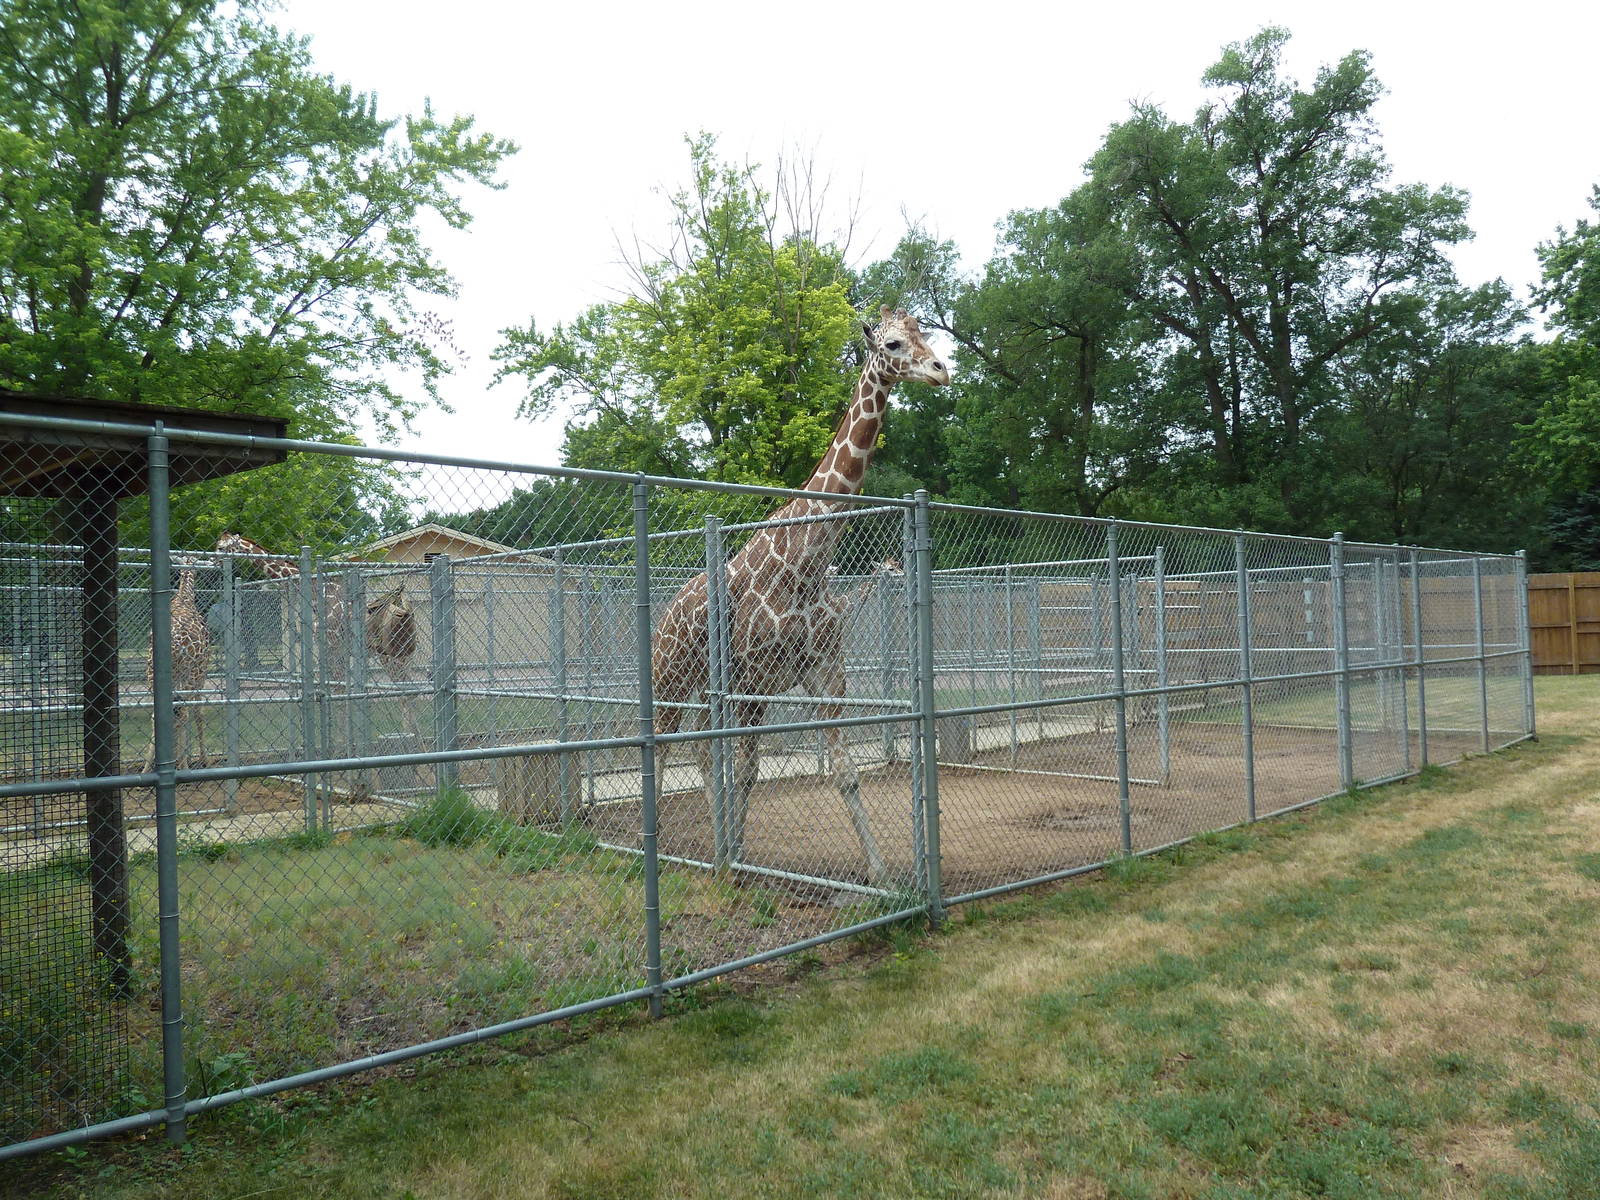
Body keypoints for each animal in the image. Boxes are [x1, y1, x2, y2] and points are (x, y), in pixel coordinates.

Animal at [143, 560, 212, 771]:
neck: (184, 598)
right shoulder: (200, 674)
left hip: (152, 674)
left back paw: (148, 767)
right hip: (191, 675)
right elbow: (198, 713)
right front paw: (201, 759)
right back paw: (182, 765)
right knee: (184, 713)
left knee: (158, 716)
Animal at [651, 308, 949, 885]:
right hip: (671, 678)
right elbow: (747, 770)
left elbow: (846, 774)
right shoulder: (753, 679)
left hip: (704, 688)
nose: (941, 371)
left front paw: (881, 875)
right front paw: (738, 862)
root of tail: (664, 617)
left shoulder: (824, 671)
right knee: (661, 745)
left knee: (698, 746)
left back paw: (716, 843)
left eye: (925, 335)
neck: (807, 559)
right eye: (894, 344)